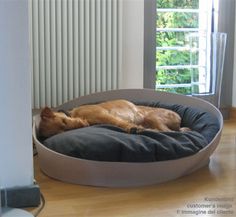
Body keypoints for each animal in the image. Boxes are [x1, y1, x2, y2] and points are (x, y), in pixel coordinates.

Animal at [38, 99, 190, 138]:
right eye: (64, 131)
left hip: (152, 117)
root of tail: (179, 119)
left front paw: (133, 129)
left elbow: (121, 123)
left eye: (64, 122)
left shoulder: (106, 116)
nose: (82, 124)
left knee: (170, 132)